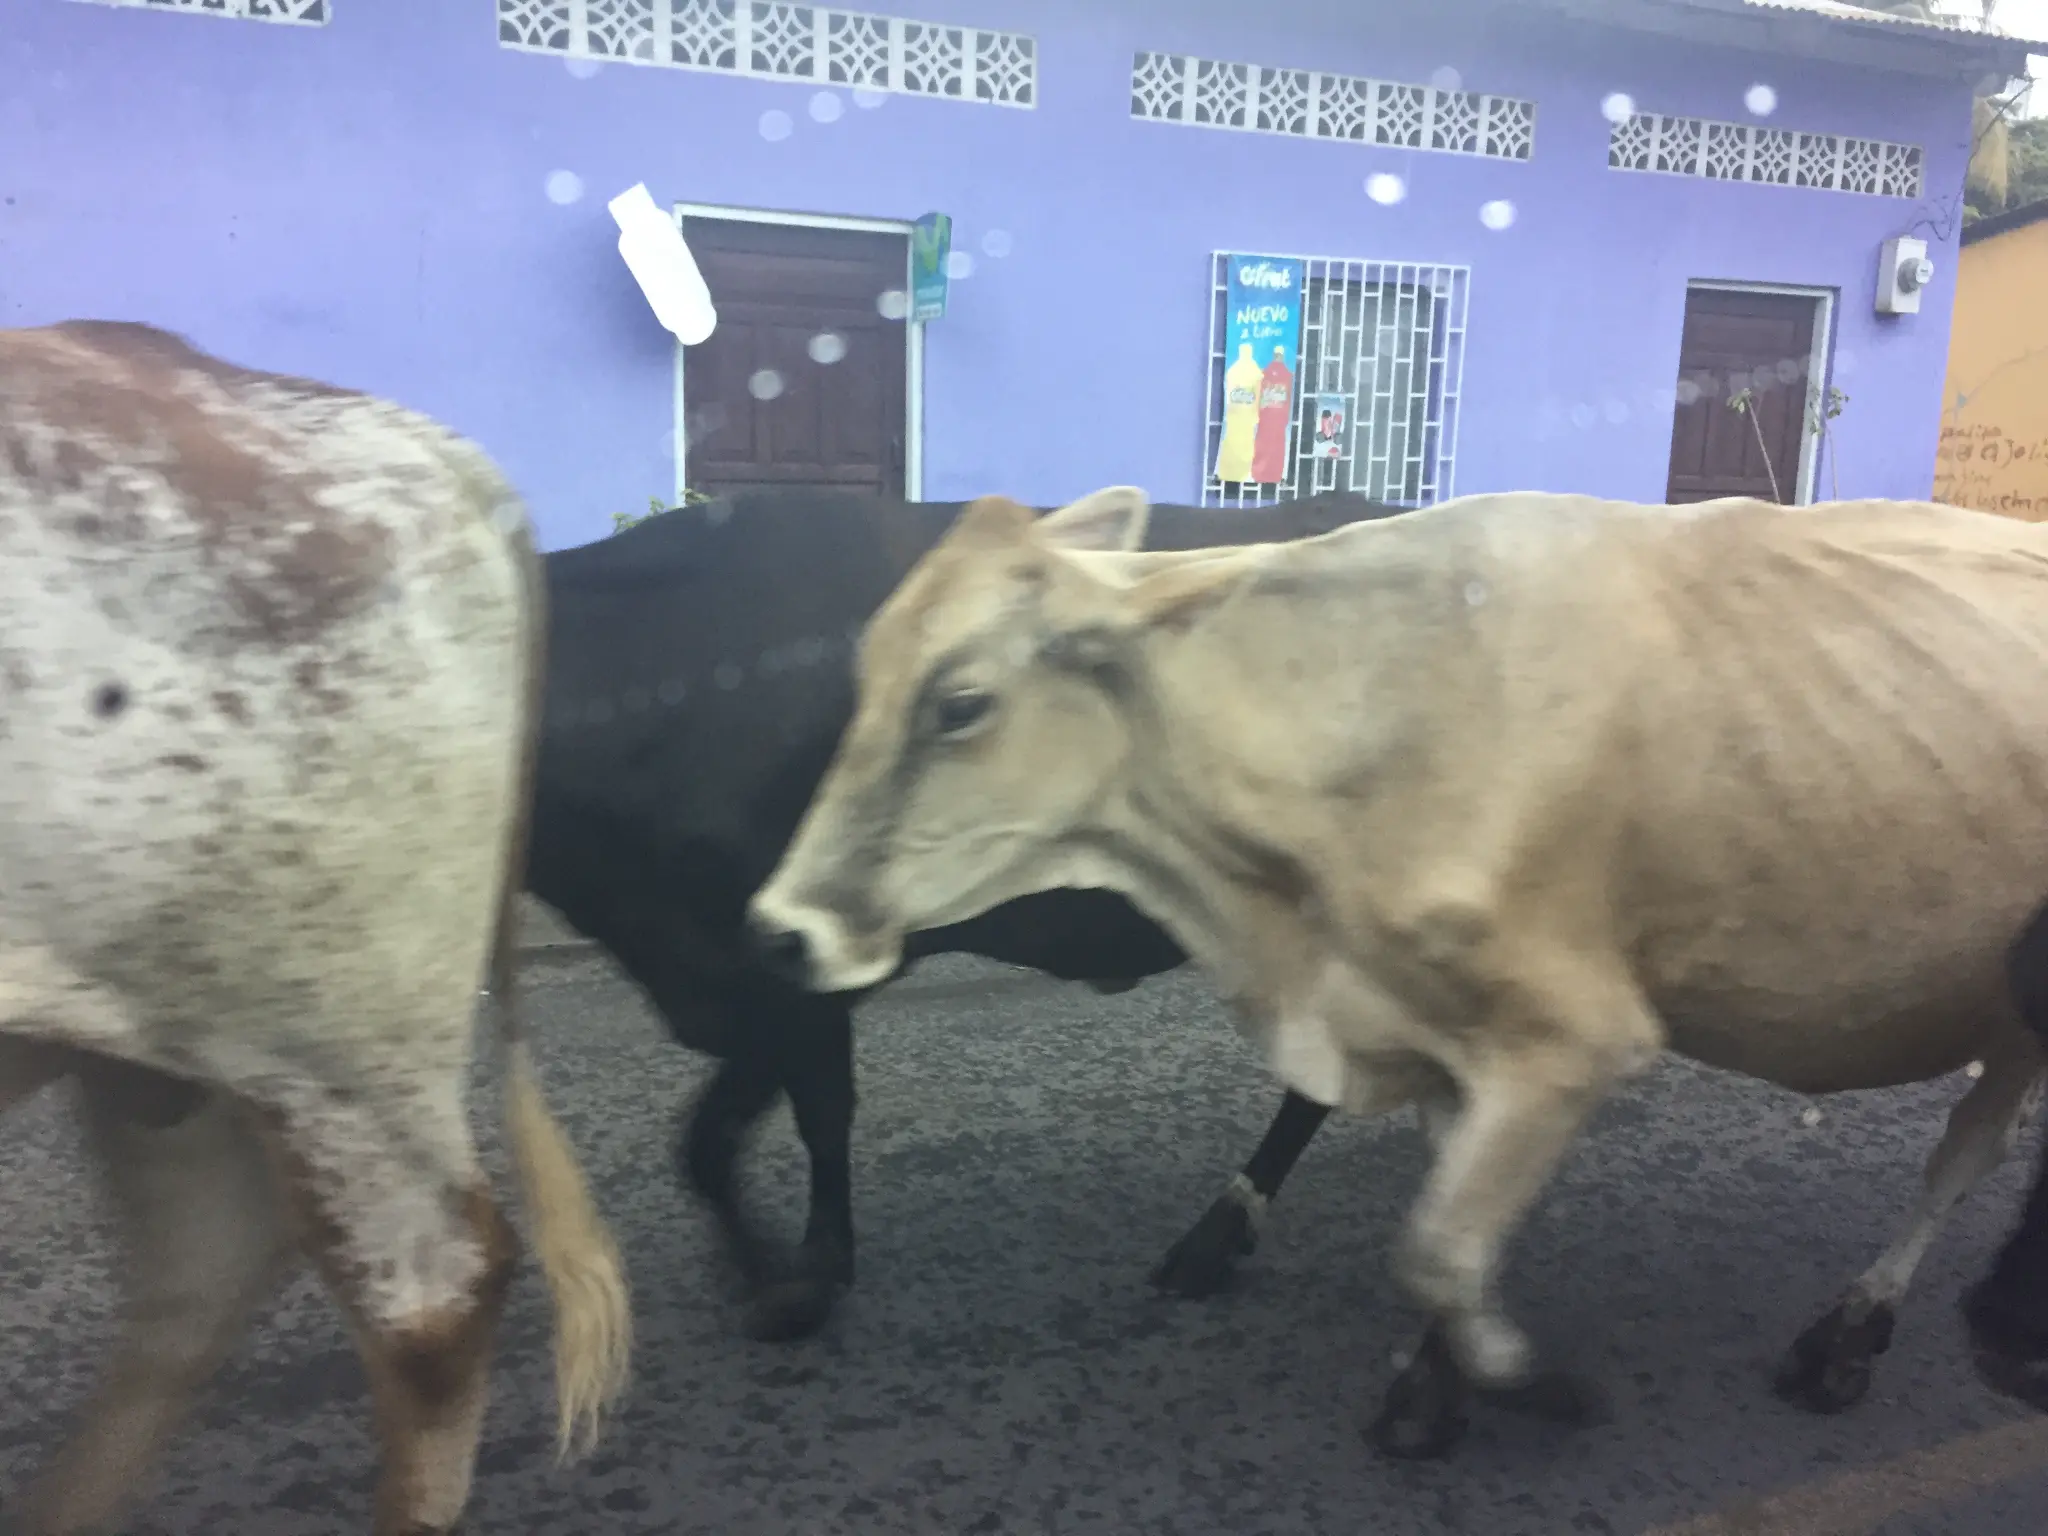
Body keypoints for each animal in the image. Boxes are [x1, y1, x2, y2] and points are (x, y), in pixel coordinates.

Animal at [748, 484, 2048, 1461]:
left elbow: (1435, 1247)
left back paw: (1855, 1329)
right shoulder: (1419, 1027)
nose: (779, 930)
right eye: (865, 675)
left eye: (959, 701)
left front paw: (1530, 1385)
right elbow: (1438, 1230)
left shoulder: (1569, 1040)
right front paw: (1435, 1387)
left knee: (1961, 1152)